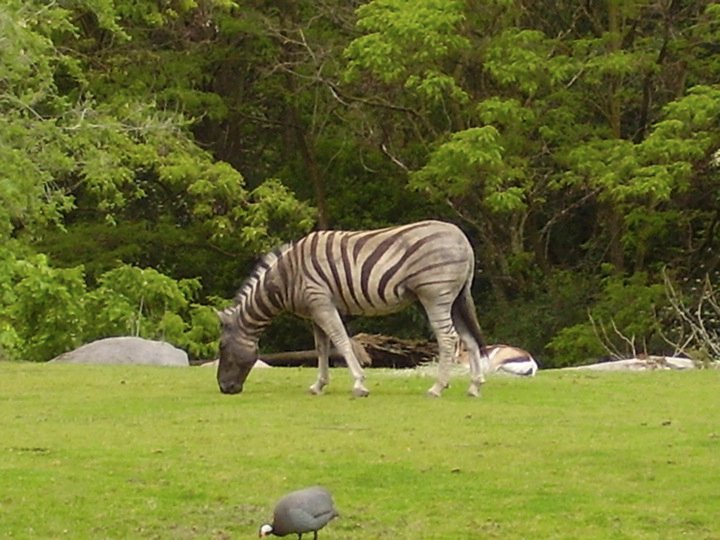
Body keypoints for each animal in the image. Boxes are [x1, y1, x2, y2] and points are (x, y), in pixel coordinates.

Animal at [216, 220, 488, 397]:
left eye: (221, 347)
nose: (224, 389)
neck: (287, 277)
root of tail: (462, 238)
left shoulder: (322, 302)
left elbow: (341, 341)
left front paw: (359, 384)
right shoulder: (315, 310)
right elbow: (322, 348)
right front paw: (319, 386)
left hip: (434, 295)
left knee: (448, 338)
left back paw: (437, 388)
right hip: (455, 299)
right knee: (468, 339)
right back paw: (474, 387)